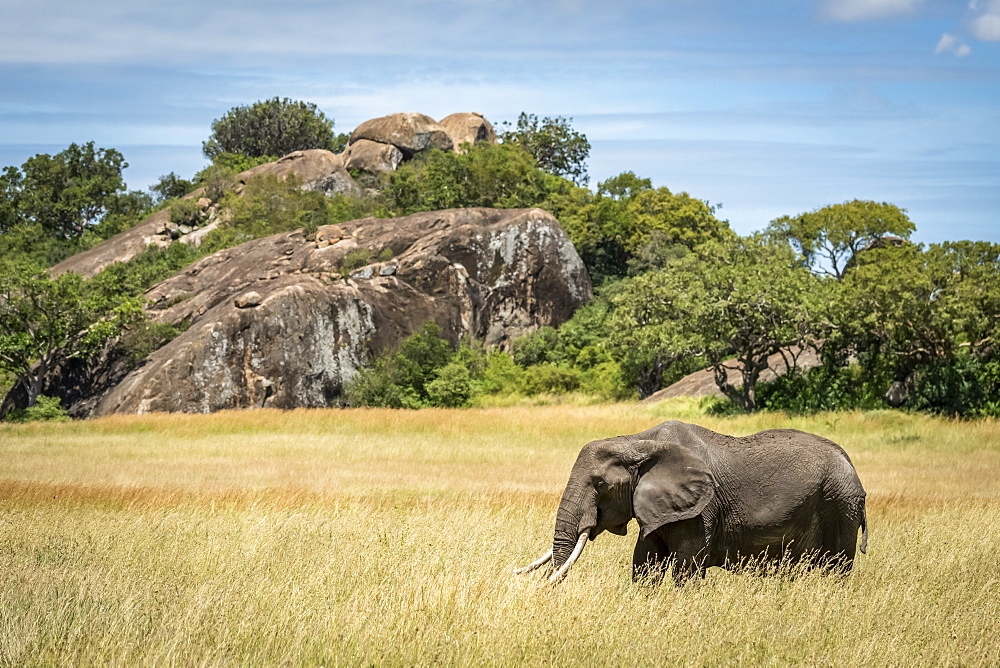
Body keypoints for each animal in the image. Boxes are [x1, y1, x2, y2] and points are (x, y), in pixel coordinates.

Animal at [516, 422, 868, 584]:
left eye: (600, 485)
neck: (637, 441)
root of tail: (850, 462)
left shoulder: (702, 508)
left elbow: (687, 564)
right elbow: (644, 561)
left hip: (840, 505)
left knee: (836, 567)